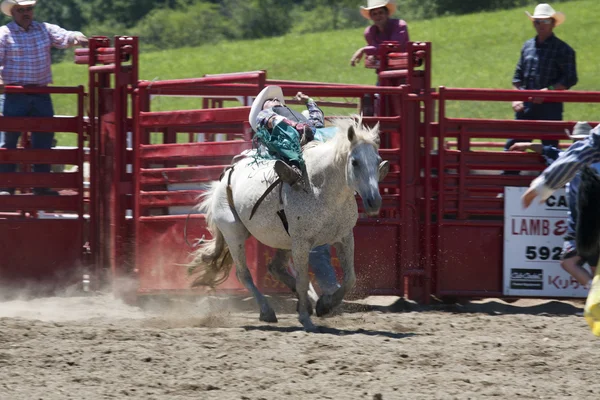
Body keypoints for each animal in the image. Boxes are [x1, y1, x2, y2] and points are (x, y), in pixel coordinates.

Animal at [189, 116, 384, 332]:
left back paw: (307, 302)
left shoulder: (344, 237)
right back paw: (267, 311)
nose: (374, 201)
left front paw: (325, 305)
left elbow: (350, 279)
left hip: (282, 240)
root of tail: (224, 179)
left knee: (275, 268)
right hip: (234, 234)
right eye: (355, 162)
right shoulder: (301, 243)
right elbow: (303, 280)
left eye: (377, 161)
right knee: (244, 274)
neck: (321, 186)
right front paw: (306, 320)